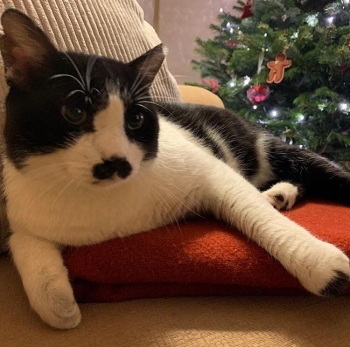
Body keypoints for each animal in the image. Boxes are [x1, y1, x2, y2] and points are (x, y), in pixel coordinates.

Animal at [0, 9, 350, 330]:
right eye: (74, 112)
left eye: (135, 119)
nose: (118, 162)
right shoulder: (29, 214)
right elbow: (23, 242)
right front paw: (61, 306)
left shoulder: (213, 172)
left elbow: (259, 217)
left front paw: (320, 264)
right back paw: (278, 194)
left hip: (266, 145)